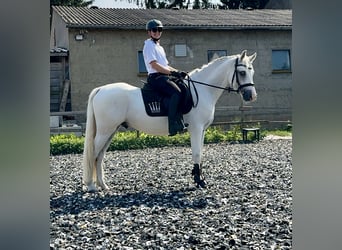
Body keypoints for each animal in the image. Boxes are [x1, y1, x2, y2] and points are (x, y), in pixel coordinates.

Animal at [82, 49, 256, 192]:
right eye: (241, 72)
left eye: (251, 71)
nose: (251, 96)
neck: (202, 90)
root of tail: (101, 89)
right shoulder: (196, 128)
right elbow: (197, 153)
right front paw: (199, 181)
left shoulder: (202, 130)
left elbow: (200, 153)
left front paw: (199, 178)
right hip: (105, 131)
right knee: (94, 154)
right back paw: (91, 186)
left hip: (111, 131)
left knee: (100, 156)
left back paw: (103, 185)